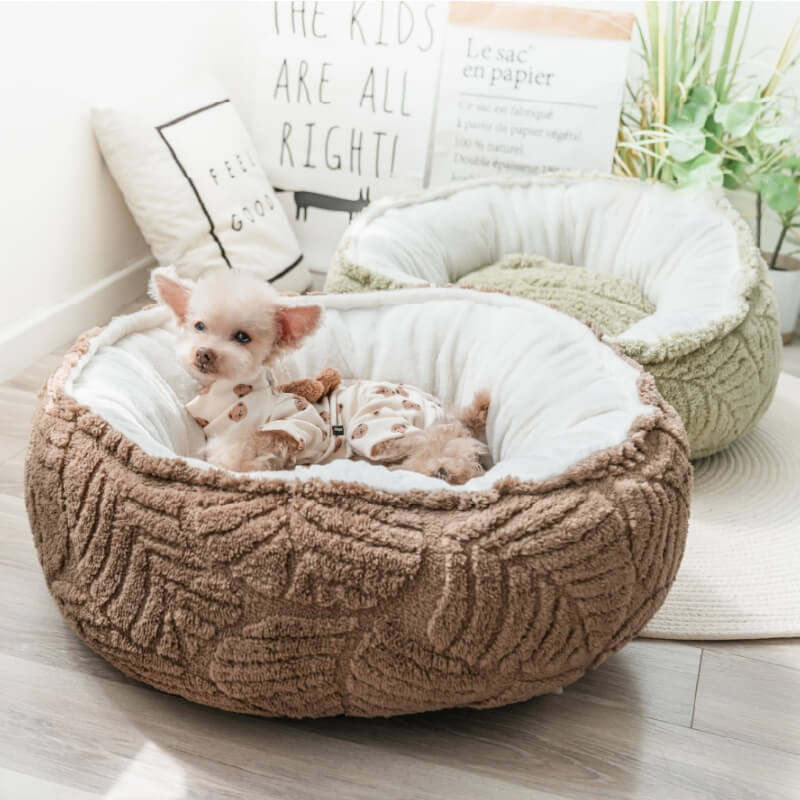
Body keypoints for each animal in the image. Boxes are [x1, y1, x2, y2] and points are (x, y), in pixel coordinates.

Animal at [152, 268, 488, 482]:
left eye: (242, 337)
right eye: (199, 326)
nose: (204, 353)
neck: (233, 395)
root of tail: (439, 406)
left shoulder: (295, 426)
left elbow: (244, 454)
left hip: (376, 423)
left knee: (439, 438)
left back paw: (443, 468)